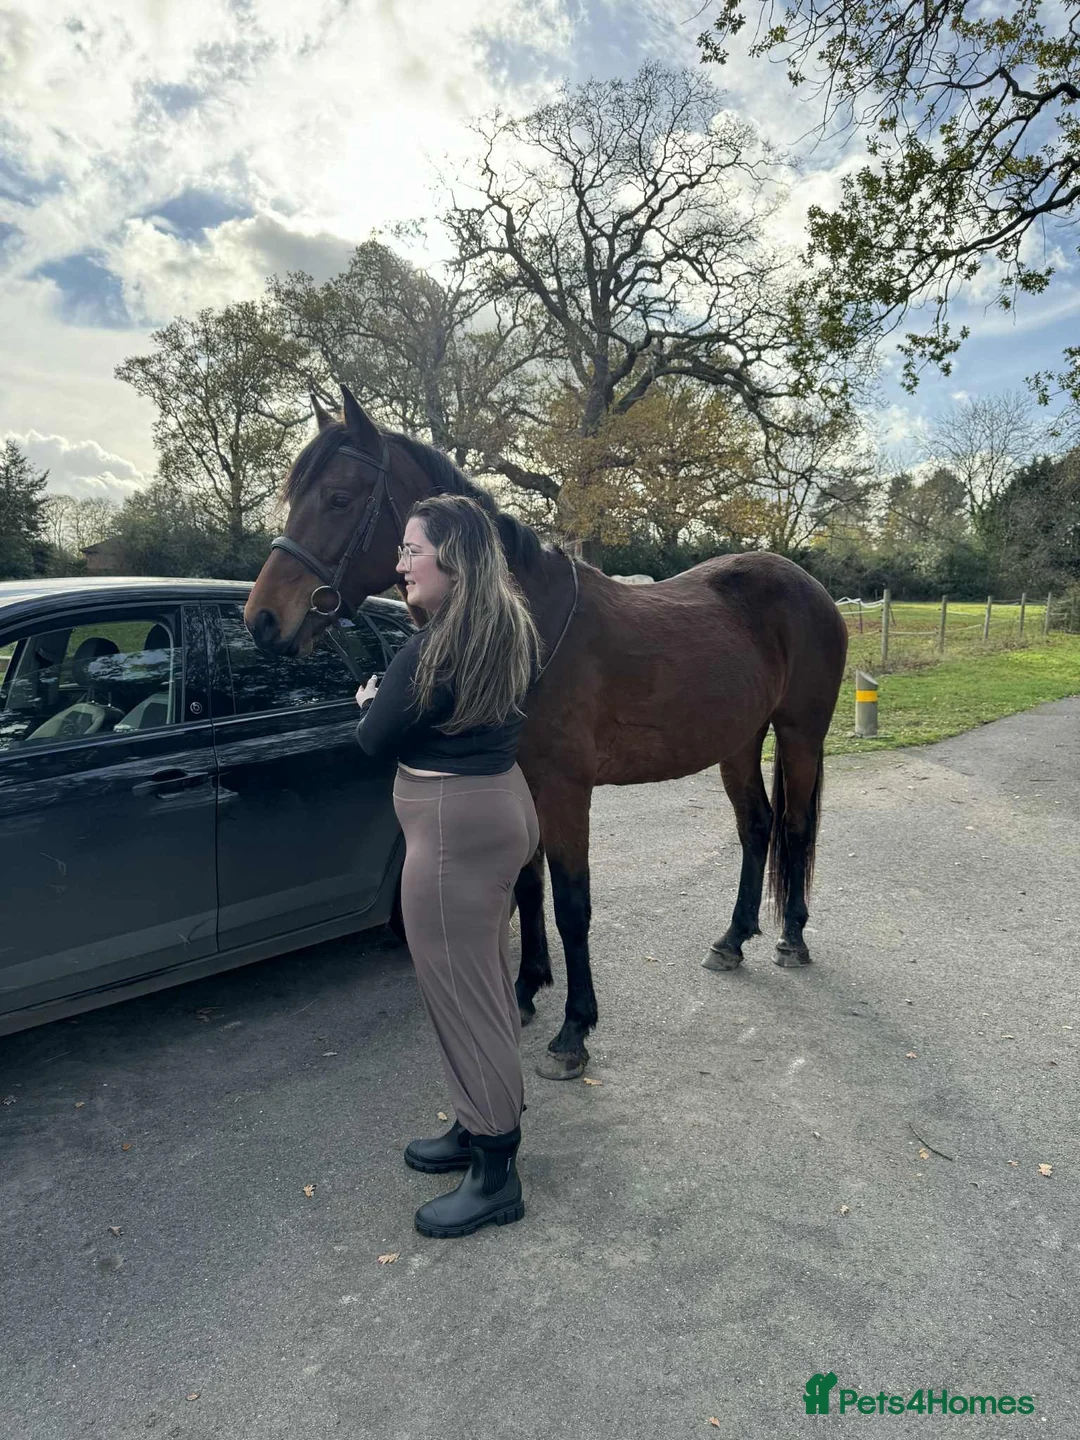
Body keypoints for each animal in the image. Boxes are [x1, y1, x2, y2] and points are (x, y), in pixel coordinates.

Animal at [245, 387, 849, 1080]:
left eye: (339, 498)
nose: (262, 619)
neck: (523, 626)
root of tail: (810, 588)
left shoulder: (566, 790)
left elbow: (571, 904)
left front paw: (574, 1029)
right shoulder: (520, 782)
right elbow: (529, 888)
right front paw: (525, 992)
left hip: (800, 734)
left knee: (795, 828)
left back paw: (792, 937)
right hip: (739, 742)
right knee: (756, 826)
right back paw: (733, 938)